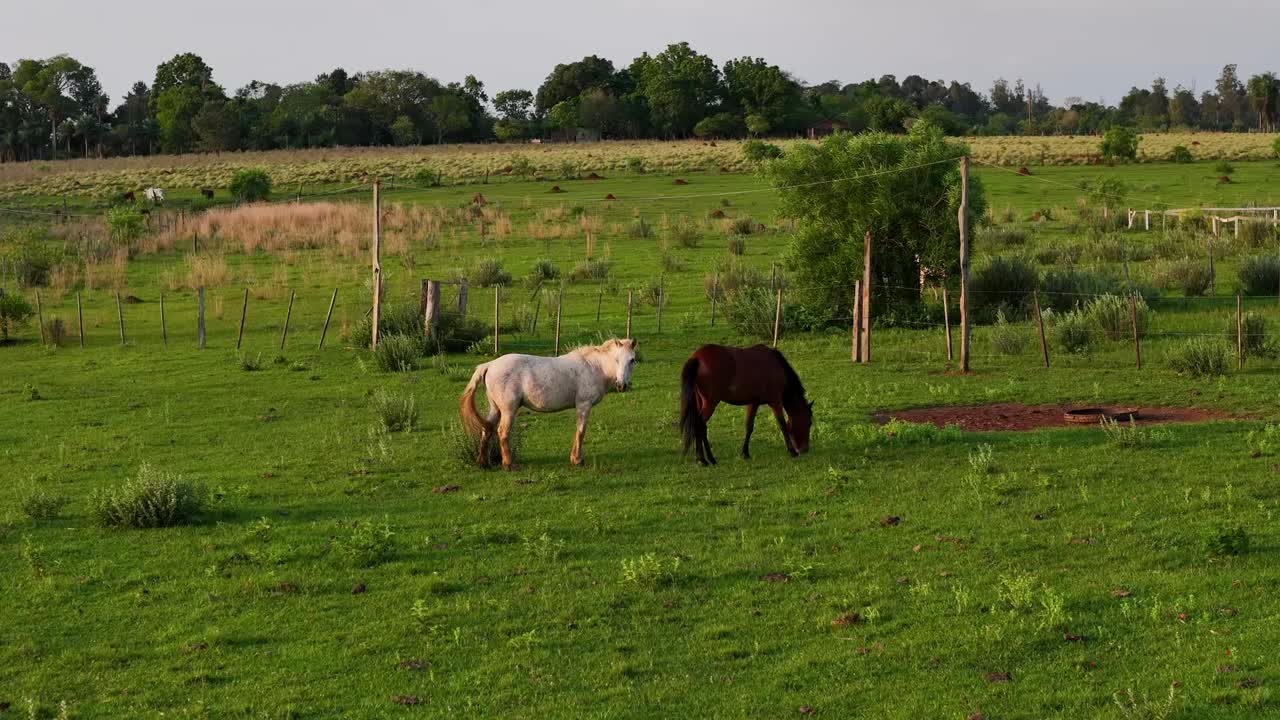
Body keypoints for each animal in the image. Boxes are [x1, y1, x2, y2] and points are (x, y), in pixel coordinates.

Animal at [459, 338, 638, 470]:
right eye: (616, 360)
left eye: (632, 360)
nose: (622, 385)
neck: (593, 366)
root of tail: (489, 365)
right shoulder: (584, 405)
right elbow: (581, 432)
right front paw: (577, 460)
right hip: (508, 410)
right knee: (502, 432)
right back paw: (509, 465)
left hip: (495, 409)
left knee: (486, 430)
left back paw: (483, 463)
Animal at [679, 344, 813, 466]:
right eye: (809, 423)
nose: (805, 449)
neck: (776, 366)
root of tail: (697, 358)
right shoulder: (775, 402)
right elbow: (782, 425)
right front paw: (792, 451)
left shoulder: (753, 403)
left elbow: (749, 427)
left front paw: (745, 453)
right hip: (711, 402)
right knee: (700, 425)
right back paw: (706, 459)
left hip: (700, 401)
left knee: (700, 426)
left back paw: (703, 458)